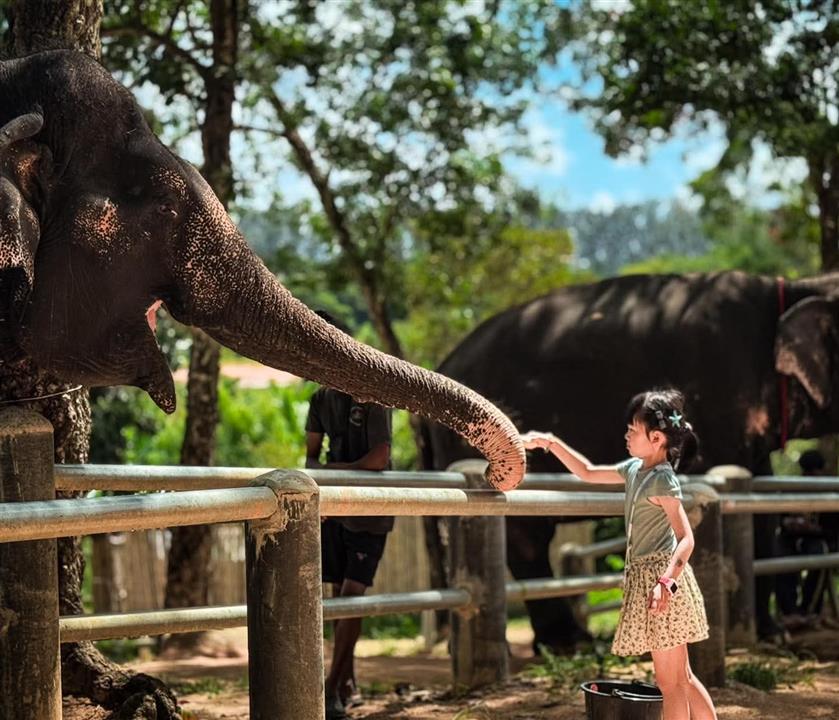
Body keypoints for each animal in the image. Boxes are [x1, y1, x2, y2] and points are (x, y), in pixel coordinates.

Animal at [423, 269, 839, 651]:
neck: (789, 289)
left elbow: (761, 509)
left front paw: (773, 634)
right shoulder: (720, 390)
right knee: (527, 540)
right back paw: (569, 644)